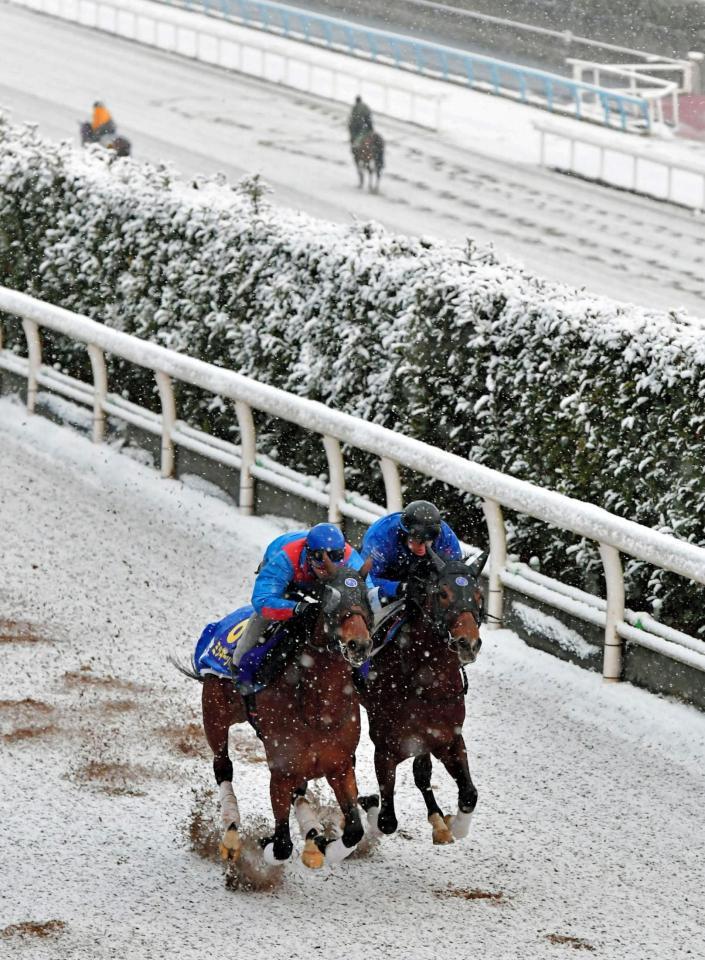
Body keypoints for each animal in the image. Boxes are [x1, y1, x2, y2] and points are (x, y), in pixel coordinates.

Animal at [176, 564, 374, 872]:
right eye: (332, 597)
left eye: (367, 597)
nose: (359, 645)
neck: (318, 708)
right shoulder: (281, 770)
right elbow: (281, 845)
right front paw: (266, 845)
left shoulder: (339, 765)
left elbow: (354, 829)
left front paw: (323, 845)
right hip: (215, 713)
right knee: (223, 766)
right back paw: (231, 836)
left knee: (300, 791)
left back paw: (312, 835)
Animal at [360, 552, 486, 844]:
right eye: (442, 593)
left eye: (479, 595)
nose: (468, 643)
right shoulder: (386, 748)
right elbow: (386, 821)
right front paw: (369, 804)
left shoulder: (448, 738)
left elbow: (468, 794)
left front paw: (454, 826)